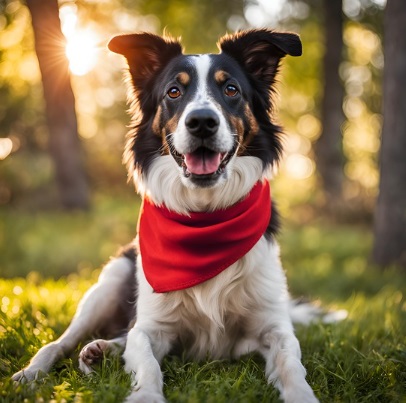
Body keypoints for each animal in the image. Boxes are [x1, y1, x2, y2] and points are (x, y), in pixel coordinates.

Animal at [13, 29, 324, 403]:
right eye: (174, 91)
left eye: (231, 89)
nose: (202, 121)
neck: (205, 218)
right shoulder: (152, 328)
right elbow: (146, 360)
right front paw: (146, 394)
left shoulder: (273, 326)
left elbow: (292, 364)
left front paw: (303, 395)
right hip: (110, 281)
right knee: (64, 341)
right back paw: (38, 370)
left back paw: (101, 351)